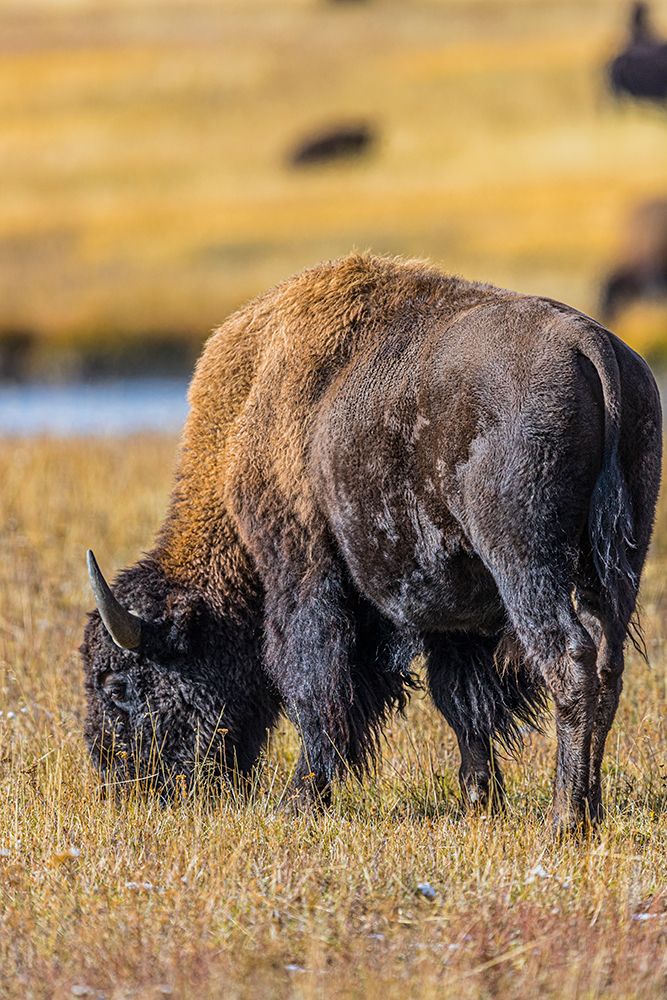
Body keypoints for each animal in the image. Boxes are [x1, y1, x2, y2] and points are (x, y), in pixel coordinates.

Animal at [81, 254, 662, 834]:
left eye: (116, 682)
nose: (118, 781)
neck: (248, 416)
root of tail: (589, 343)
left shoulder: (303, 576)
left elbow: (316, 687)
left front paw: (297, 801)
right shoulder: (455, 615)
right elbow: (461, 700)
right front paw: (479, 799)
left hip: (526, 564)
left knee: (569, 659)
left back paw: (565, 818)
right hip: (614, 566)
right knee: (606, 665)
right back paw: (591, 807)